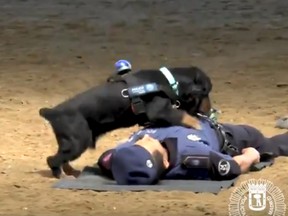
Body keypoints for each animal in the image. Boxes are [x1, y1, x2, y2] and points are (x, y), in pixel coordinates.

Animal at [39, 66, 213, 178]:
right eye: (206, 92)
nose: (210, 111)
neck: (170, 81)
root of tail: (52, 112)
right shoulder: (160, 110)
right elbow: (186, 117)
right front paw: (198, 125)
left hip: (70, 142)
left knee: (62, 158)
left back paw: (72, 172)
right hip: (78, 141)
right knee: (53, 159)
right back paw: (62, 176)